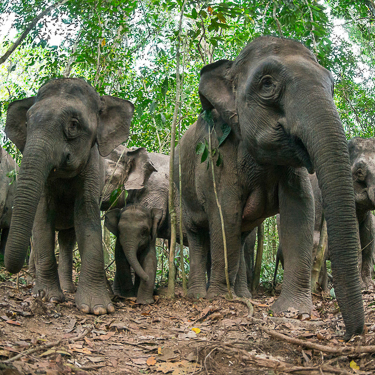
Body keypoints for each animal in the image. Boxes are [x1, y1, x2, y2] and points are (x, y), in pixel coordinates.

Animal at [3, 78, 135, 316]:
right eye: (27, 122)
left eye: (73, 124)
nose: (11, 270)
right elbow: (42, 220)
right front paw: (49, 298)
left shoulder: (93, 168)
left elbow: (86, 218)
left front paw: (98, 309)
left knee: (67, 239)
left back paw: (68, 289)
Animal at [176, 36, 364, 340]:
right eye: (267, 84)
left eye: (332, 86)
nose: (348, 335)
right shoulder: (218, 156)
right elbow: (225, 213)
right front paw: (220, 300)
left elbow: (300, 210)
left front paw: (294, 311)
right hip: (181, 188)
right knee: (198, 234)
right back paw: (200, 296)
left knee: (240, 236)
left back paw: (243, 295)